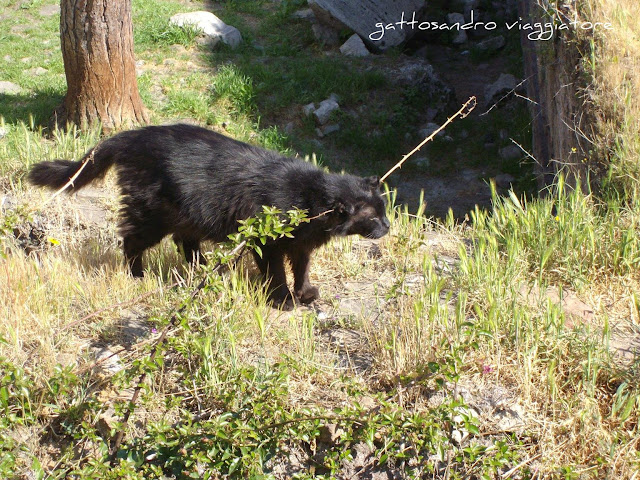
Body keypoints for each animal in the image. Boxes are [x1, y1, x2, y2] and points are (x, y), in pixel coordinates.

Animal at [28, 123, 390, 308]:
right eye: (374, 217)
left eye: (385, 211)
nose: (387, 227)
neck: (311, 197)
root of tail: (136, 134)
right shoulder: (267, 242)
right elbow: (276, 272)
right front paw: (283, 299)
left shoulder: (301, 245)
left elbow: (301, 269)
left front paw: (305, 293)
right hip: (152, 215)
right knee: (130, 241)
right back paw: (138, 277)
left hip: (188, 214)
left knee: (185, 244)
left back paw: (203, 271)